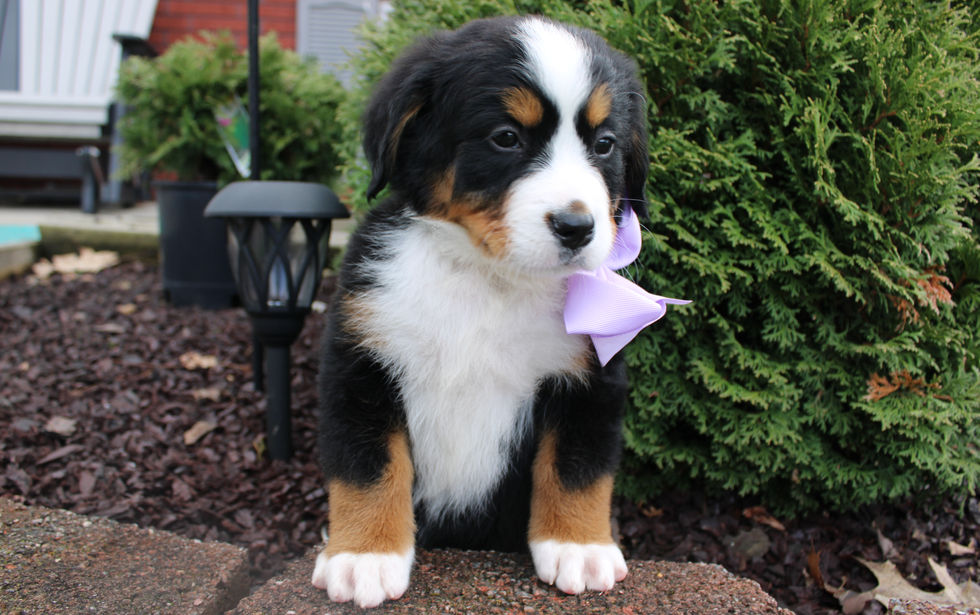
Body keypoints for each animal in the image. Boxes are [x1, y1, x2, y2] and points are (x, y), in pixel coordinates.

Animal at [313, 15, 649, 608]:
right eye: (506, 137)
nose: (577, 227)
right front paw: (364, 557)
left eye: (605, 144)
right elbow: (368, 465)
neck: (488, 278)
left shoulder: (589, 376)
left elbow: (576, 467)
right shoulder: (361, 362)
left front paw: (579, 546)